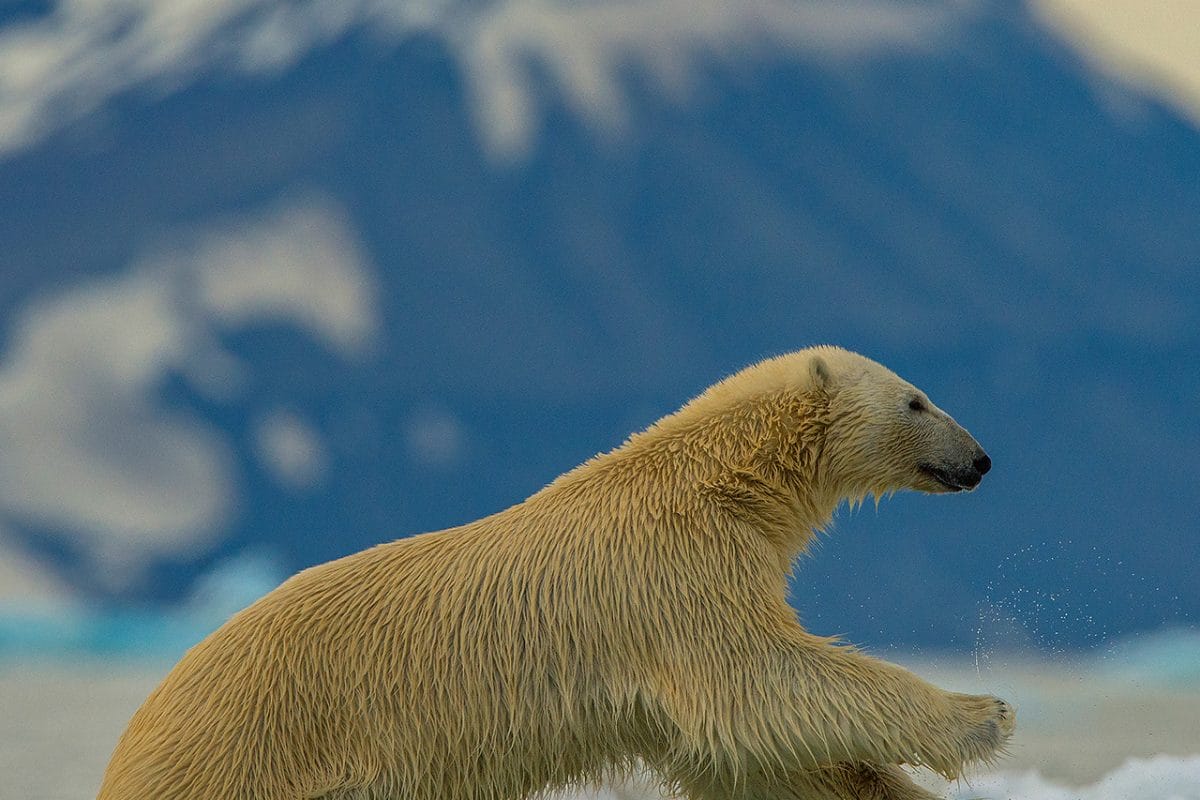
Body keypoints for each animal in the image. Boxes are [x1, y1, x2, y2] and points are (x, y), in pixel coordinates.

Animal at [98, 346, 1013, 800]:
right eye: (917, 399)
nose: (979, 459)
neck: (715, 482)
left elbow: (763, 762)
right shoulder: (672, 579)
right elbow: (763, 683)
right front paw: (983, 716)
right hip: (248, 757)